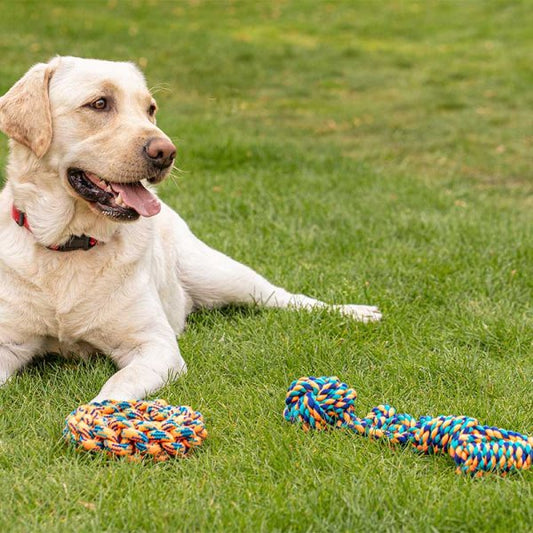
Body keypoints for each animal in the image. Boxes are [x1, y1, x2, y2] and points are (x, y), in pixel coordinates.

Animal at [1, 57, 382, 400]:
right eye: (99, 103)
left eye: (150, 109)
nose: (166, 152)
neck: (71, 244)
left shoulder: (156, 346)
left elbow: (116, 388)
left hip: (219, 275)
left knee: (285, 297)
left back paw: (357, 312)